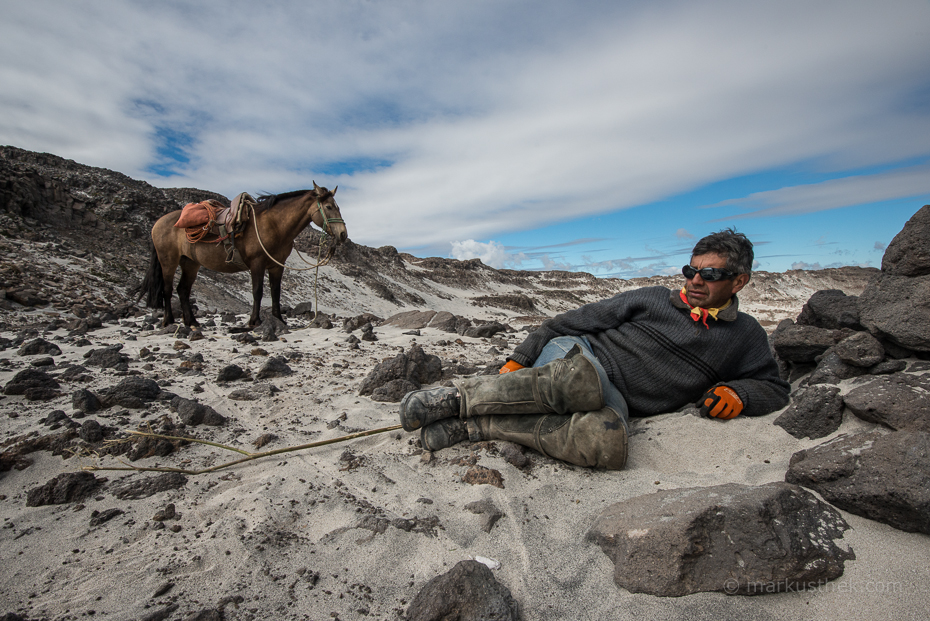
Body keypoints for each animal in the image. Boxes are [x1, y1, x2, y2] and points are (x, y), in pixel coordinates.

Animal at [134, 182, 344, 326]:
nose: (343, 234)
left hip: (190, 263)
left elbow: (275, 292)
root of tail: (158, 223)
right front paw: (255, 321)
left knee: (183, 290)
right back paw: (168, 321)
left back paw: (192, 323)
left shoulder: (276, 266)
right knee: (168, 289)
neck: (274, 225)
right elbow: (258, 291)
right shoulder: (257, 263)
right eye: (328, 207)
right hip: (168, 261)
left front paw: (279, 320)